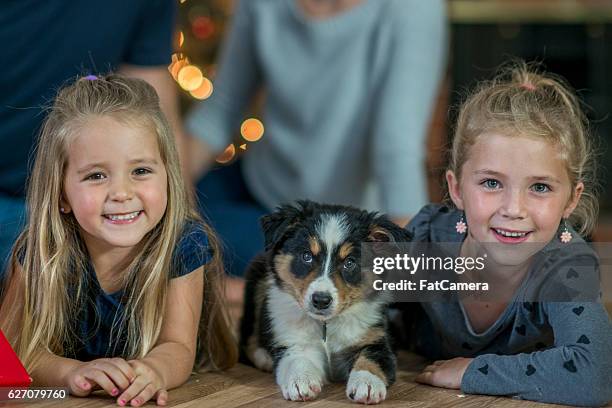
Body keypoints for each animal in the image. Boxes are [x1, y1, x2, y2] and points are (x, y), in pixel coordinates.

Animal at [239, 199, 412, 404]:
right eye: (306, 256)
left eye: (350, 262)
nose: (320, 300)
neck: (326, 325)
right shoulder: (293, 340)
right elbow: (296, 358)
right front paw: (301, 380)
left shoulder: (375, 338)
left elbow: (371, 359)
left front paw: (367, 384)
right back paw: (264, 357)